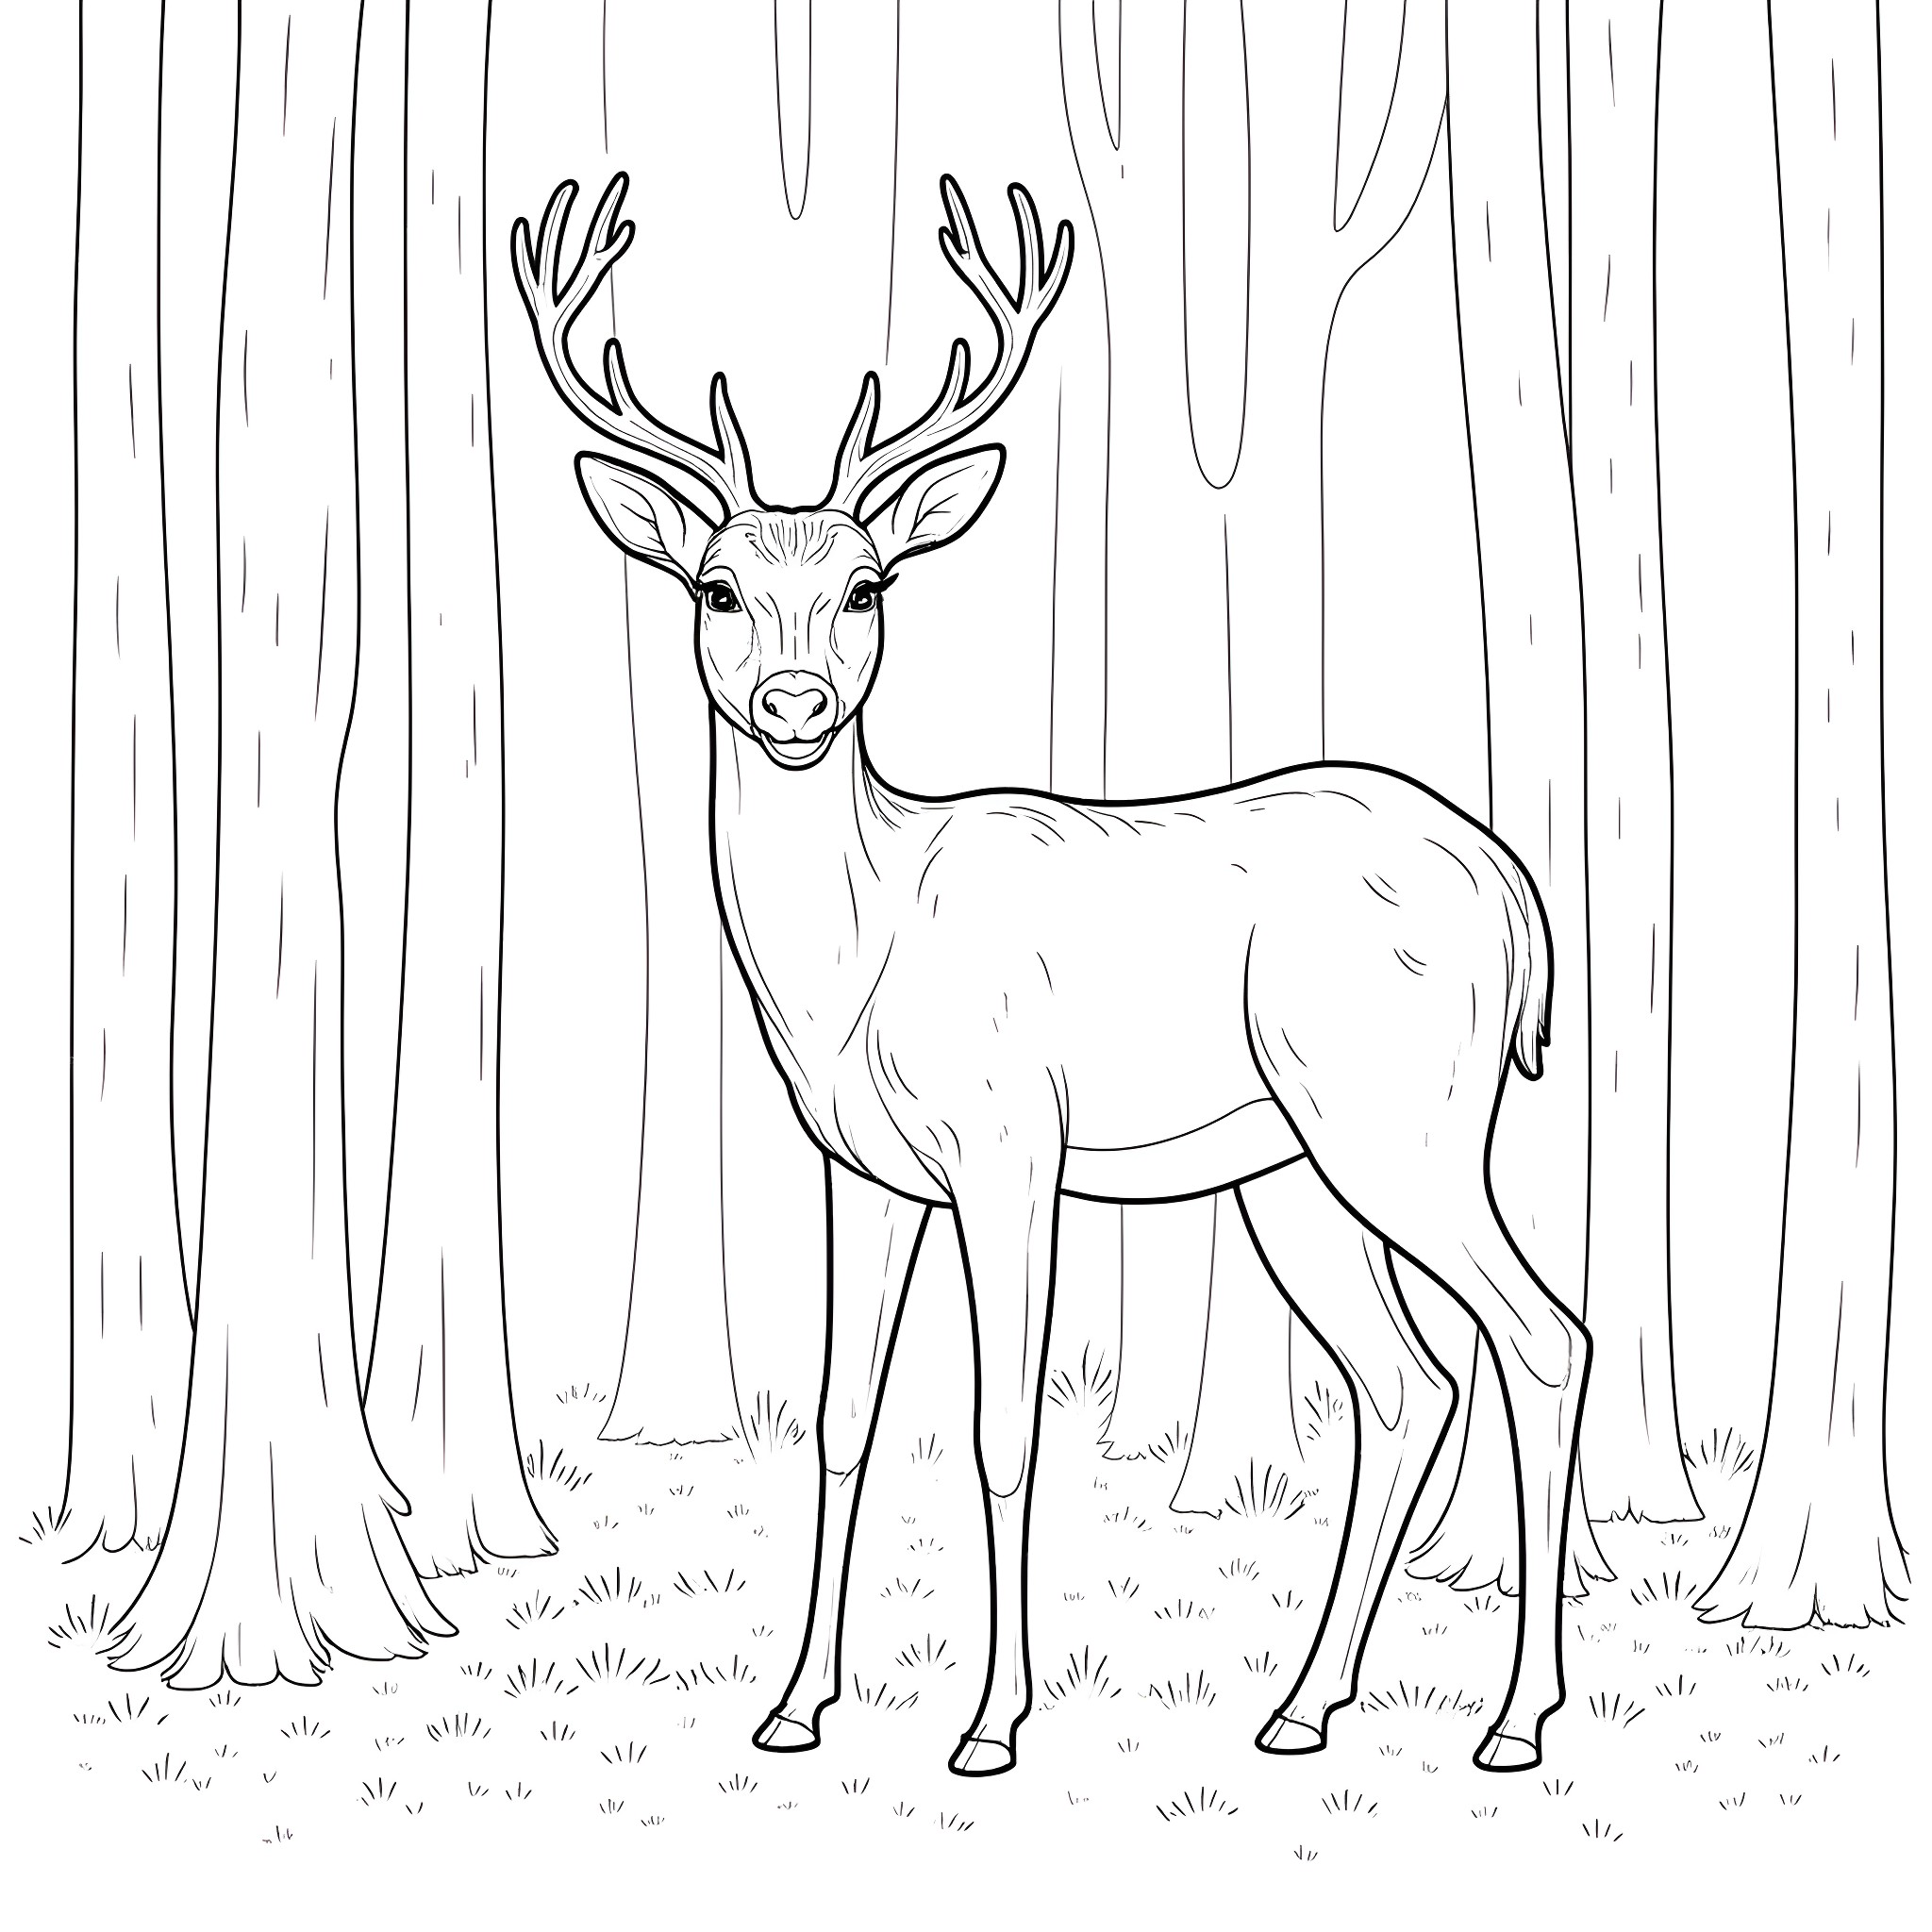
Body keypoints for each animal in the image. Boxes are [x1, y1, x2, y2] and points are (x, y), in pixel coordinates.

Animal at [513, 170, 1591, 1778]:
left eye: (867, 585)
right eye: (715, 589)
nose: (794, 705)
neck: (854, 962)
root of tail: (1518, 896)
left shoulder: (1011, 1137)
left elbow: (1002, 1425)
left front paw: (993, 1724)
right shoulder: (863, 1171)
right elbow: (841, 1416)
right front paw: (794, 1705)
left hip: (1404, 1117)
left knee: (1540, 1338)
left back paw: (1516, 1721)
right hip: (1292, 1171)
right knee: (1405, 1383)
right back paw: (1303, 1706)